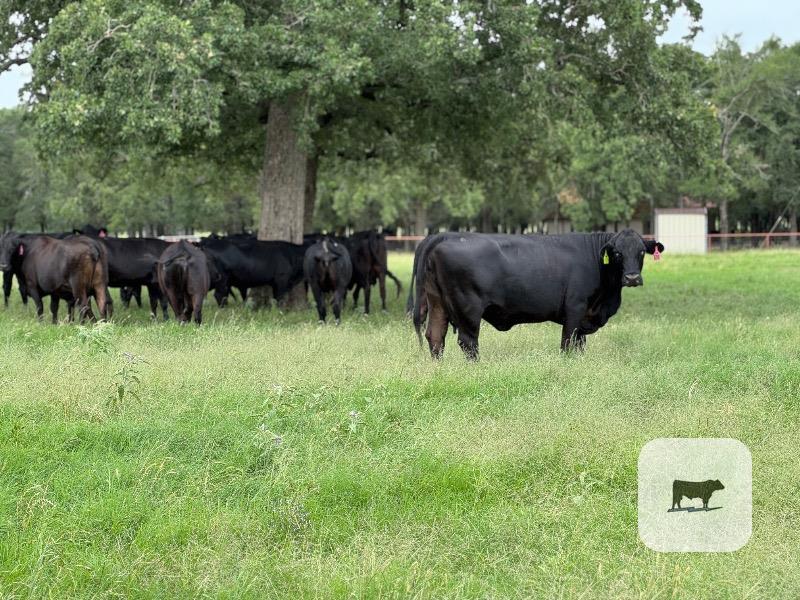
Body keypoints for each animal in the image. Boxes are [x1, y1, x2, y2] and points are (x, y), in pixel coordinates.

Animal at [412, 229, 664, 359]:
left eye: (641, 252)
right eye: (617, 253)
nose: (632, 278)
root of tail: (442, 236)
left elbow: (580, 345)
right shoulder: (575, 308)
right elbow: (567, 343)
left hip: (438, 303)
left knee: (435, 336)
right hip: (468, 309)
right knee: (468, 342)